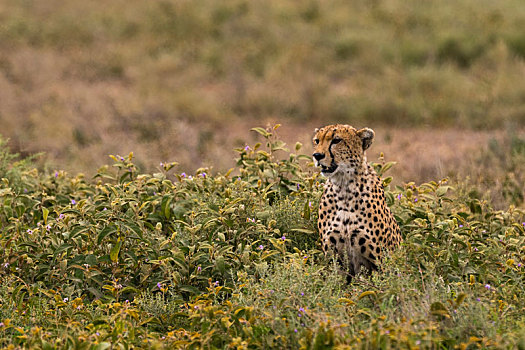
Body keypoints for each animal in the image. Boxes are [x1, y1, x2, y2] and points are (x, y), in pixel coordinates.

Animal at [312, 124, 402, 274]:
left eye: (336, 140)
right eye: (317, 141)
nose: (317, 156)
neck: (344, 188)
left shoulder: (379, 262)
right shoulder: (335, 260)